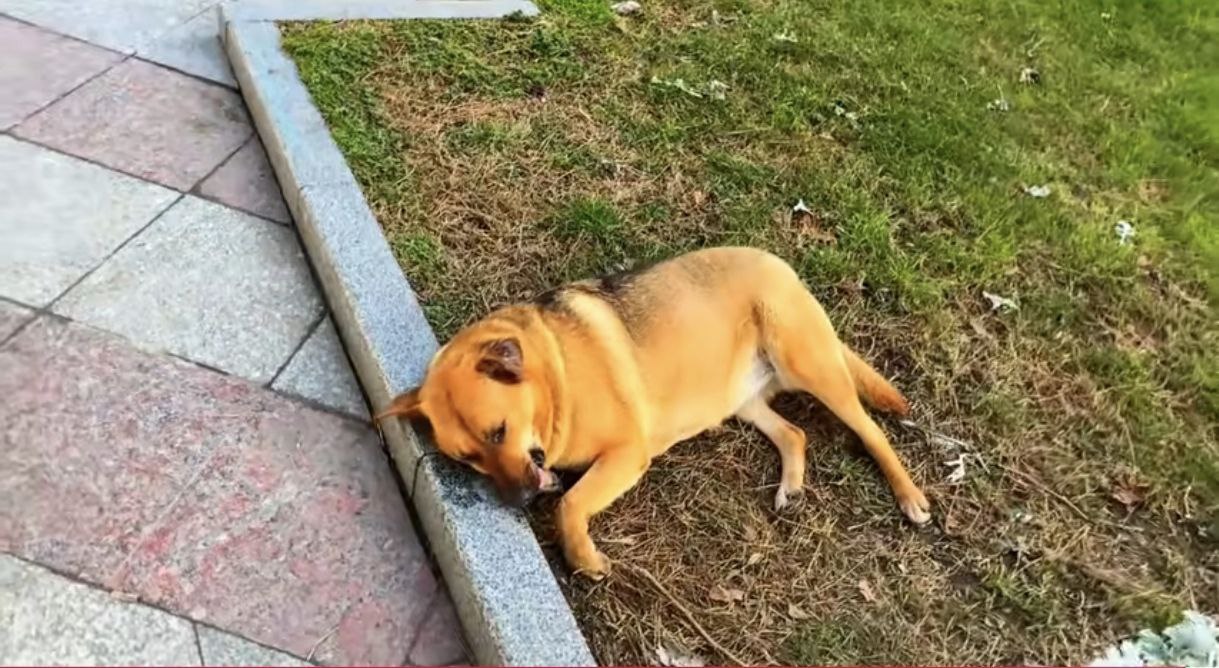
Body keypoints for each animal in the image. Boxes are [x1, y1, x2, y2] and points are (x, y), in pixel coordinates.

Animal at [377, 246, 930, 579]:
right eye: (467, 459)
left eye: (498, 432)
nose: (517, 501)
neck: (554, 378)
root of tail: (776, 261)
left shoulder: (627, 455)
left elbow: (570, 504)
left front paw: (583, 557)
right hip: (744, 401)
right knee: (794, 432)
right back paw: (791, 483)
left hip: (811, 366)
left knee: (871, 432)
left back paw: (910, 496)